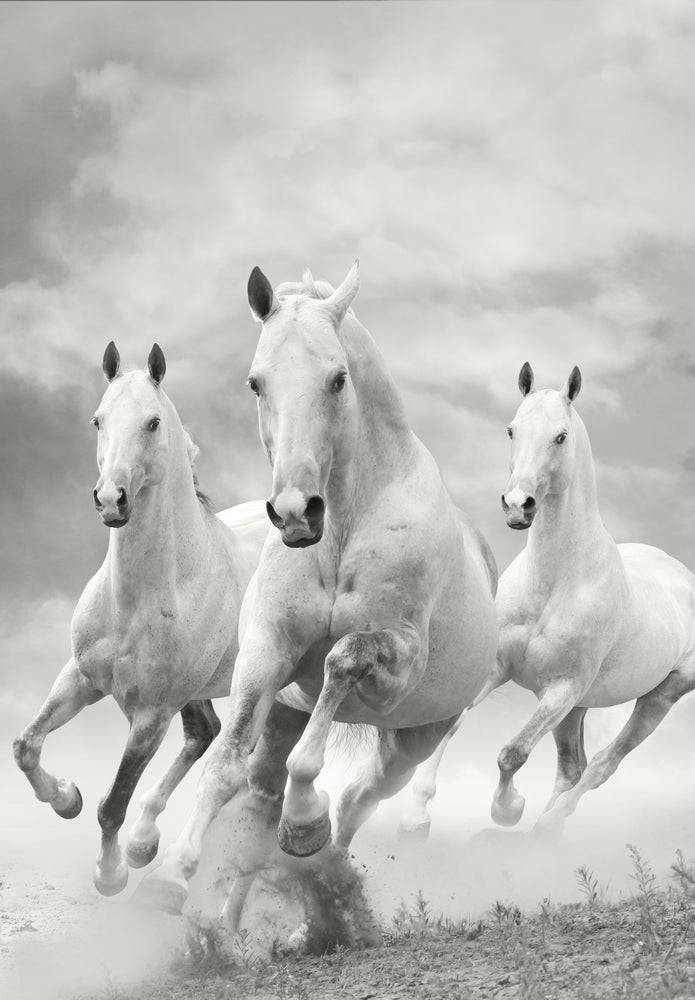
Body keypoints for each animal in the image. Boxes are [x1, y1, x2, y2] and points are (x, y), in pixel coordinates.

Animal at [14, 346, 270, 900]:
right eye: (97, 420)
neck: (138, 601)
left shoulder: (152, 714)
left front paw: (110, 874)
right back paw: (144, 842)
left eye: (152, 422)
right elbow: (26, 746)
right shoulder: (81, 678)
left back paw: (150, 854)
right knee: (204, 732)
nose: (111, 499)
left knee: (226, 752)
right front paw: (66, 798)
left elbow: (114, 802)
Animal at [143, 266, 500, 916]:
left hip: (415, 739)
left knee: (361, 797)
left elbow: (342, 661)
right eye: (256, 382)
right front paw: (168, 877)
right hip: (285, 718)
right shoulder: (266, 652)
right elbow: (225, 765)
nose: (295, 513)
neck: (340, 533)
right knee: (261, 802)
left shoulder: (398, 660)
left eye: (338, 379)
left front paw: (306, 819)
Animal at [482, 364, 695, 832]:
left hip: (658, 697)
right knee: (572, 768)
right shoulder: (499, 667)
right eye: (511, 429)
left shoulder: (561, 689)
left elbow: (512, 753)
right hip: (578, 707)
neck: (552, 585)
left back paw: (547, 826)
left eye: (561, 436)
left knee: (600, 766)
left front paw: (508, 809)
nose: (517, 506)